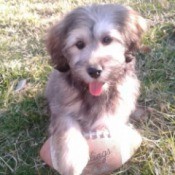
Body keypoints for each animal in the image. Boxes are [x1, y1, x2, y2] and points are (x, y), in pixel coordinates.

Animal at [45, 3, 146, 175]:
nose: (94, 71)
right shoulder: (62, 105)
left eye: (107, 39)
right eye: (79, 44)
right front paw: (70, 158)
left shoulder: (121, 99)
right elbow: (65, 125)